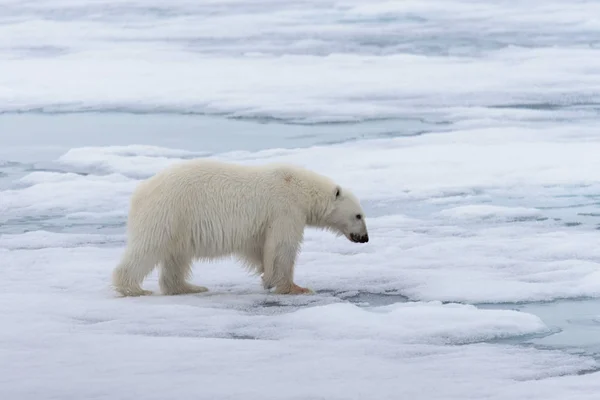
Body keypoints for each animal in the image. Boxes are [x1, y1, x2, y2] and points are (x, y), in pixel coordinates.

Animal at [110, 159, 368, 296]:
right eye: (358, 215)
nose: (364, 238)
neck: (298, 186)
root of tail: (141, 191)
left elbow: (258, 247)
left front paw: (266, 277)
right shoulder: (285, 209)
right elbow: (282, 247)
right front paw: (295, 287)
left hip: (179, 224)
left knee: (177, 257)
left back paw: (189, 287)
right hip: (168, 212)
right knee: (147, 248)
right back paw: (133, 288)